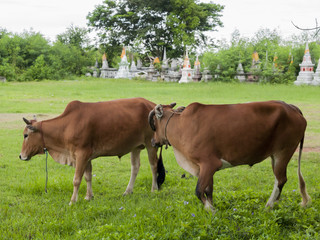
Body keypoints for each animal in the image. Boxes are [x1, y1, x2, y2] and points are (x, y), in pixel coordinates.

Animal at [19, 97, 165, 204]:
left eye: (26, 135)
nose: (21, 156)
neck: (66, 126)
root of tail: (152, 105)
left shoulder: (81, 155)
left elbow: (77, 179)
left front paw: (73, 201)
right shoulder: (86, 156)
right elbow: (87, 176)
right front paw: (88, 196)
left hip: (150, 144)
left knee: (153, 166)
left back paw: (154, 189)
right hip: (135, 147)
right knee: (135, 167)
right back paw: (128, 191)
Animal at [149, 101, 312, 210]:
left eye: (154, 125)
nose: (153, 141)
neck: (182, 125)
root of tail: (291, 107)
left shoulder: (209, 164)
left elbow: (199, 190)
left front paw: (210, 210)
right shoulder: (205, 169)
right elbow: (208, 190)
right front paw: (211, 208)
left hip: (283, 152)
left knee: (281, 180)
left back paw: (269, 205)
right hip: (275, 155)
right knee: (279, 180)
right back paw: (275, 203)